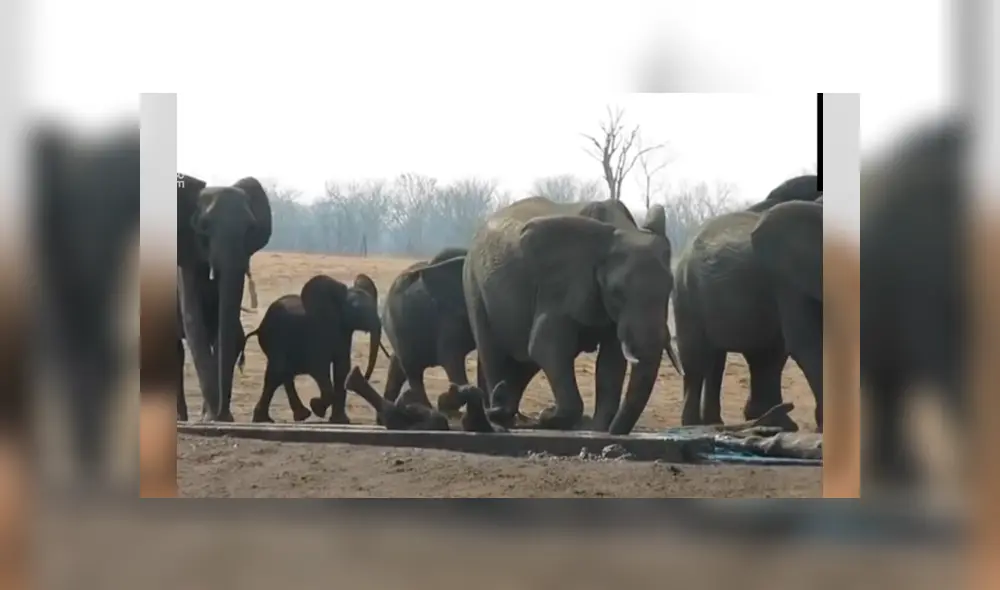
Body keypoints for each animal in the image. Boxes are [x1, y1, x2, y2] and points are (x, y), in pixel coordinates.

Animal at [177, 173, 272, 422]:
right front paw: (212, 419)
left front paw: (216, 418)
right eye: (204, 227)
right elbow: (193, 320)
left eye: (251, 228)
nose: (221, 413)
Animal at [236, 273, 384, 423]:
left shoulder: (343, 332)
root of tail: (259, 327)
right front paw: (317, 407)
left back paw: (294, 416)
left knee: (282, 374)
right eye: (358, 309)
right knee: (277, 373)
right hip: (274, 339)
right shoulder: (316, 330)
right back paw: (268, 419)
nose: (365, 376)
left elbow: (342, 369)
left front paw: (341, 421)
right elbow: (319, 367)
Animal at [380, 246, 484, 413]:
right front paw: (447, 400)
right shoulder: (447, 318)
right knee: (412, 370)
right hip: (396, 322)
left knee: (398, 366)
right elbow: (450, 357)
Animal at [459, 195, 682, 435]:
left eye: (670, 288)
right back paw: (502, 417)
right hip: (473, 284)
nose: (613, 430)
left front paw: (596, 429)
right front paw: (548, 416)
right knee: (494, 354)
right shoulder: (561, 285)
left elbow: (611, 361)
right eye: (616, 292)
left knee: (523, 364)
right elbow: (546, 345)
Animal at [671, 175, 822, 431]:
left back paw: (771, 421)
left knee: (753, 356)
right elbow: (807, 341)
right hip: (686, 292)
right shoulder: (787, 279)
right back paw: (693, 425)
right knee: (697, 359)